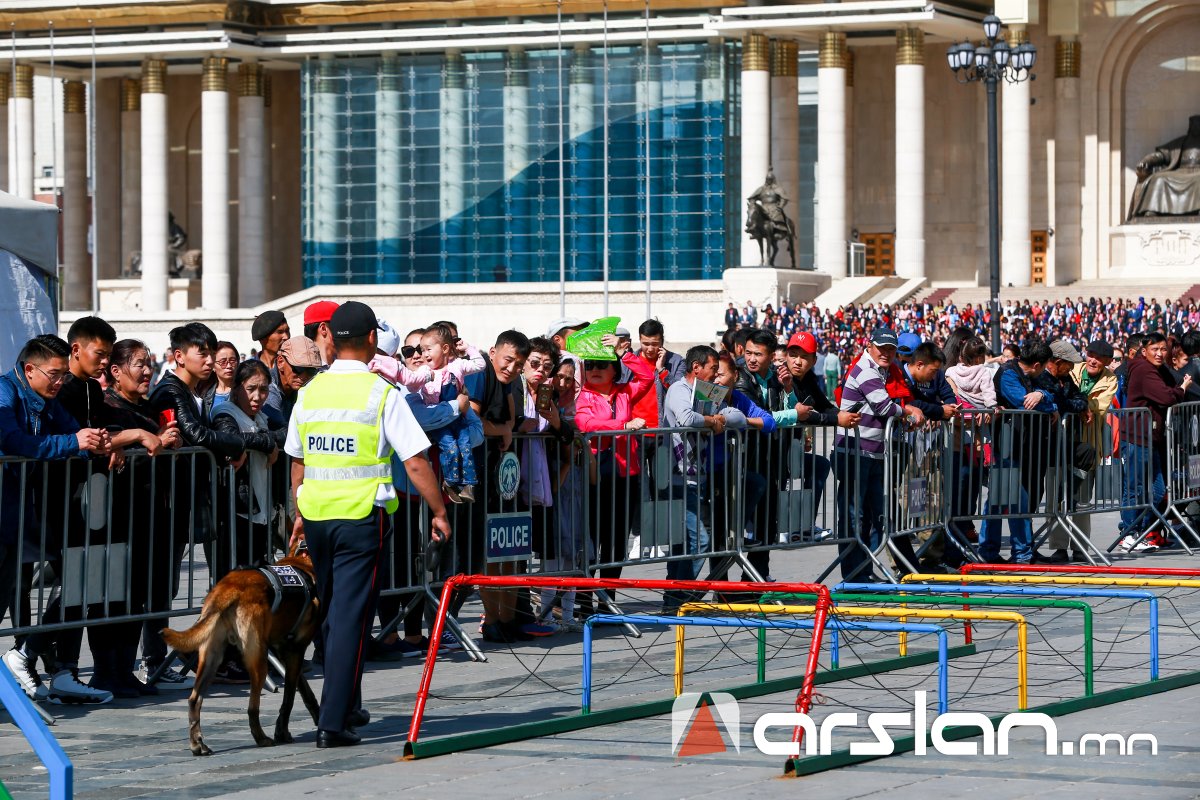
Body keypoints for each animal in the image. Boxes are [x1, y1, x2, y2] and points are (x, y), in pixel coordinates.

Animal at [161, 543, 321, 756]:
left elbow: (303, 689)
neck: (303, 562)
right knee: (252, 707)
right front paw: (282, 732)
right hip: (259, 661)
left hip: (211, 658)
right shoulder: (295, 650)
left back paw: (198, 744)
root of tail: (227, 590)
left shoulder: (286, 653)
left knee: (194, 699)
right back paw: (261, 738)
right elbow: (289, 697)